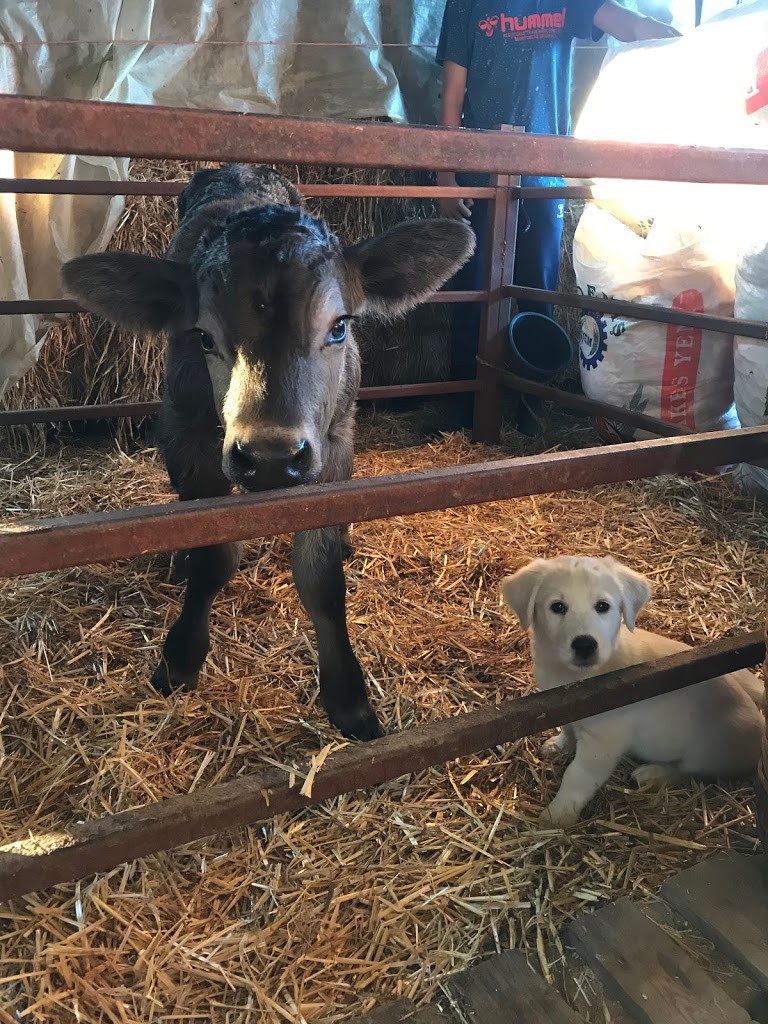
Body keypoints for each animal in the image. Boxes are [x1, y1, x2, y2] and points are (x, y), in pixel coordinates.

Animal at [63, 165, 475, 745]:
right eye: (203, 336)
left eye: (340, 326)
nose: (273, 456)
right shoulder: (189, 435)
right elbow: (214, 554)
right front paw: (180, 659)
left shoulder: (334, 442)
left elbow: (321, 574)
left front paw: (348, 698)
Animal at [499, 557, 765, 827]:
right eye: (558, 607)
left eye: (603, 606)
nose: (585, 645)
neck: (573, 677)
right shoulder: (560, 708)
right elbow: (568, 729)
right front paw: (558, 746)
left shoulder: (602, 743)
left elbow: (577, 777)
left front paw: (558, 815)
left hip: (707, 752)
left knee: (692, 772)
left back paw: (653, 774)